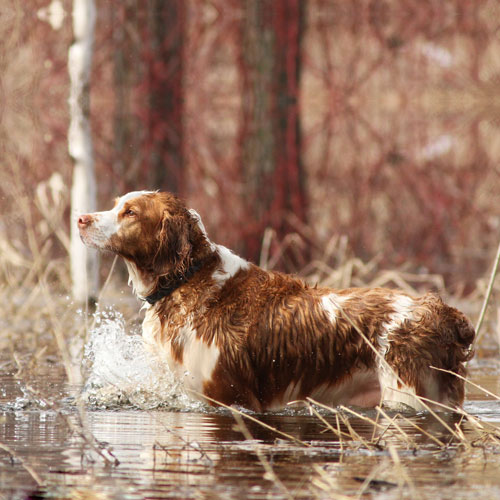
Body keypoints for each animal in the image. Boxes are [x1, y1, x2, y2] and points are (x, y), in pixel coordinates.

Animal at [77, 189, 472, 412]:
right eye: (116, 205)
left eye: (130, 212)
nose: (80, 218)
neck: (186, 281)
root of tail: (445, 313)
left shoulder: (228, 396)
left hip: (409, 393)